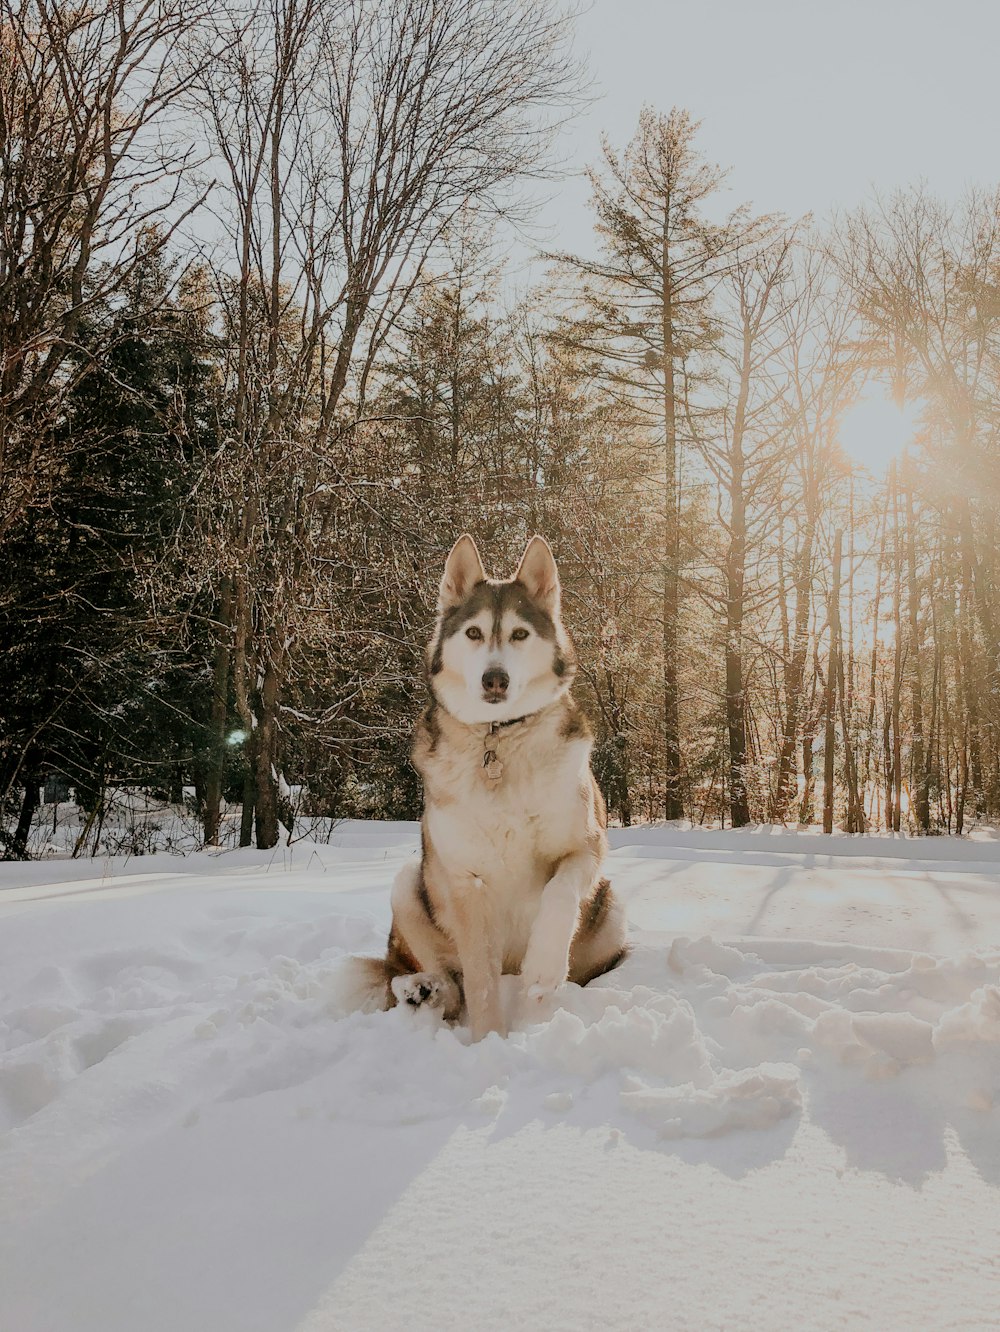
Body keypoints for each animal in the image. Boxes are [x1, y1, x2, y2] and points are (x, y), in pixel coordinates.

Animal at [356, 530, 628, 1038]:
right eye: (474, 633)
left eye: (520, 634)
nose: (494, 679)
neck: (498, 738)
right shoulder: (467, 882)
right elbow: (480, 981)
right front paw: (489, 1041)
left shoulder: (586, 845)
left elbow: (560, 892)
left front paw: (543, 969)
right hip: (412, 881)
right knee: (441, 978)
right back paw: (421, 989)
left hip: (612, 905)